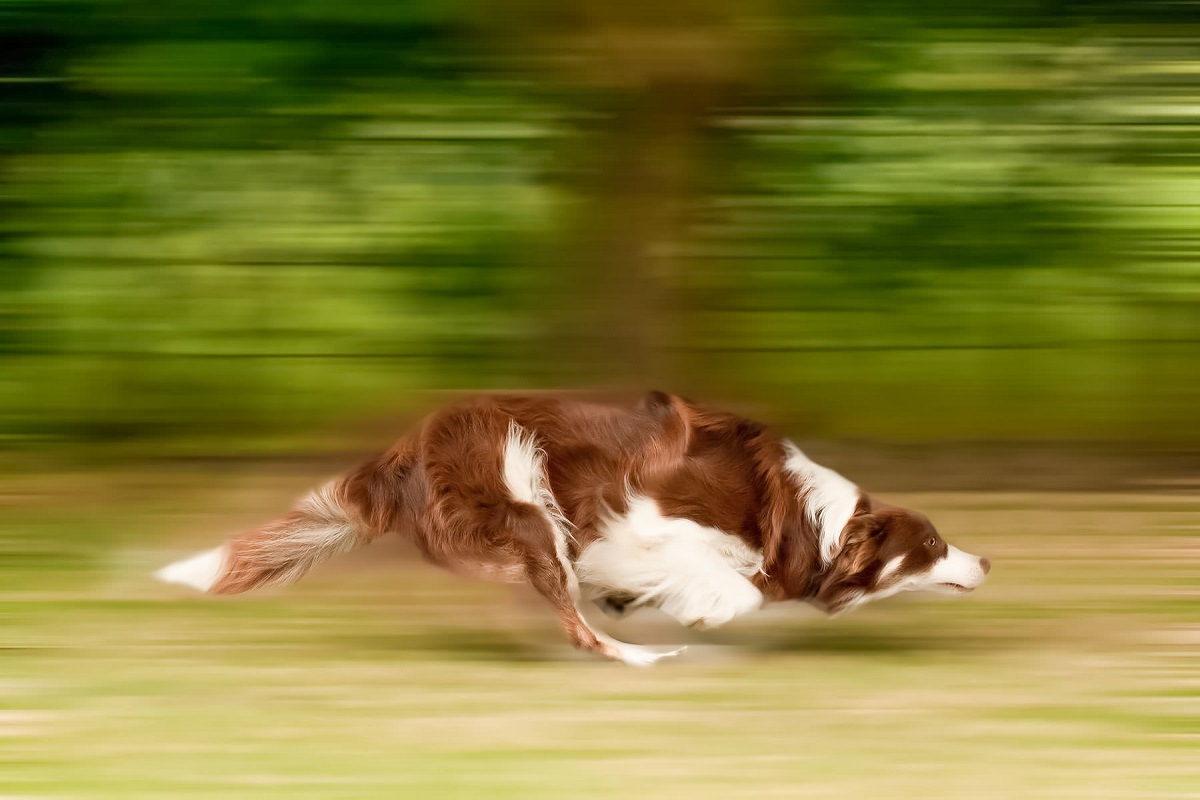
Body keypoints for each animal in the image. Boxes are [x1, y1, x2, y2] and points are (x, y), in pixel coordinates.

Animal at [154, 393, 988, 662]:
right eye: (934, 545)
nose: (986, 561)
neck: (813, 517)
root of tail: (402, 450)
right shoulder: (642, 525)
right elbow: (729, 586)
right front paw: (698, 609)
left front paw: (645, 600)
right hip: (528, 499)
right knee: (572, 619)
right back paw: (639, 654)